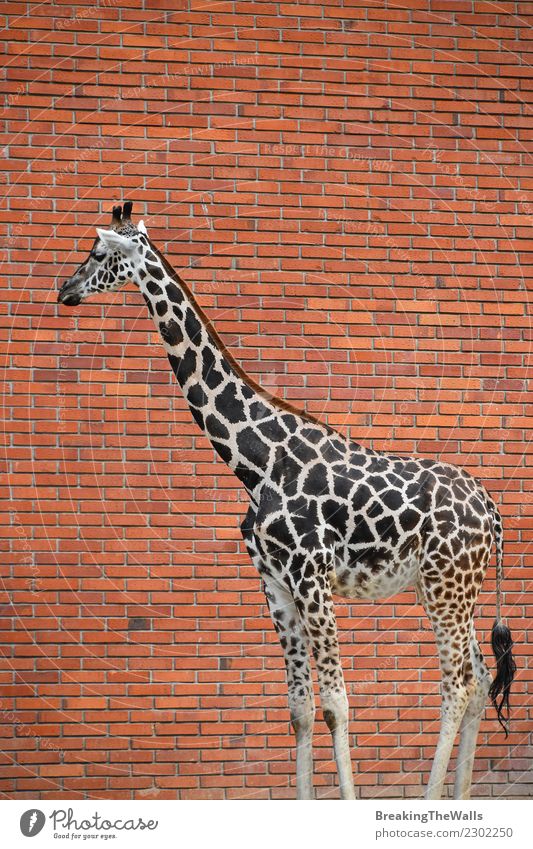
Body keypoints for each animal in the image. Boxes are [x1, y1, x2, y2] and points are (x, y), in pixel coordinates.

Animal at [55, 202, 516, 800]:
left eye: (98, 252)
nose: (65, 290)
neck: (256, 463)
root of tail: (494, 512)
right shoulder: (273, 581)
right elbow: (299, 708)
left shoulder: (311, 576)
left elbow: (337, 705)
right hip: (453, 589)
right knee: (481, 678)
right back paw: (459, 798)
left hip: (446, 588)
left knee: (458, 683)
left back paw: (434, 798)